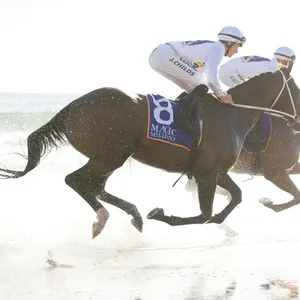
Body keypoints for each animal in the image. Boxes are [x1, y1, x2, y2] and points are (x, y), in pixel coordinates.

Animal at [0, 68, 298, 239]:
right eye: (295, 89)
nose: (296, 120)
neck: (232, 115)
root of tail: (72, 106)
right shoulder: (208, 173)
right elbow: (204, 214)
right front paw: (160, 213)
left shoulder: (216, 172)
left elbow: (234, 198)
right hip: (111, 154)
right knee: (76, 181)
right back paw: (105, 219)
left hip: (107, 157)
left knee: (94, 185)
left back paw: (133, 215)